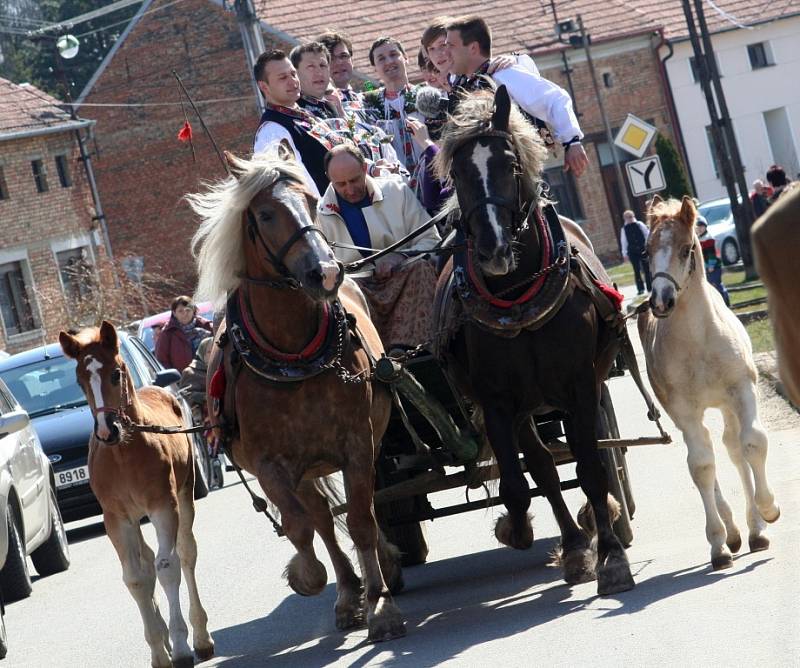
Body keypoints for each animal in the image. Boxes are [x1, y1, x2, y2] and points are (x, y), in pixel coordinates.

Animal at [59, 320, 214, 664]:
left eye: (116, 373)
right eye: (79, 380)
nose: (107, 430)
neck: (124, 452)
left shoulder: (163, 506)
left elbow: (167, 566)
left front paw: (180, 647)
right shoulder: (117, 519)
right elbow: (135, 577)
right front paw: (159, 651)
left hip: (185, 493)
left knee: (186, 552)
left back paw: (201, 637)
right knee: (145, 560)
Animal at [188, 149, 406, 640]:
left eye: (311, 201)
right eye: (266, 214)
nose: (324, 273)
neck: (292, 355)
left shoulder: (358, 444)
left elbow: (361, 520)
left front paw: (381, 604)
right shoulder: (271, 465)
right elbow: (300, 527)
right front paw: (308, 577)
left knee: (358, 510)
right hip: (304, 470)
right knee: (321, 518)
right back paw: (346, 594)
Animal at [434, 87, 636, 596]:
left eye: (509, 164)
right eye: (458, 173)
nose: (493, 251)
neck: (517, 296)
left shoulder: (580, 387)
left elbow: (591, 469)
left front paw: (612, 556)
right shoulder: (498, 401)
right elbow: (519, 482)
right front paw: (518, 528)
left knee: (590, 460)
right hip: (526, 408)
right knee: (542, 468)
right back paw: (574, 546)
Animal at [640, 196, 780, 572]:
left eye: (687, 248)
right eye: (646, 251)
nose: (660, 301)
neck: (698, 339)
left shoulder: (742, 390)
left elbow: (753, 443)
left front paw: (768, 510)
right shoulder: (685, 412)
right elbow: (701, 465)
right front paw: (719, 546)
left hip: (727, 405)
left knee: (733, 448)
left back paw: (755, 529)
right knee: (709, 452)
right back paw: (733, 533)